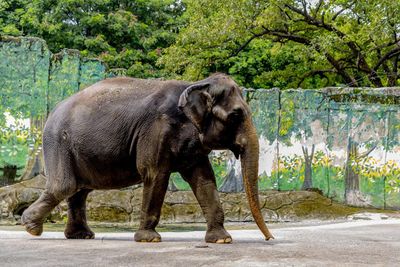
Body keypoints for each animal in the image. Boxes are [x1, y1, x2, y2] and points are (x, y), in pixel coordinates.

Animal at [21, 73, 272, 243]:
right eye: (236, 115)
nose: (269, 238)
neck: (195, 83)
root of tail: (51, 112)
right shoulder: (155, 131)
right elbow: (155, 173)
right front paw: (149, 239)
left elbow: (203, 179)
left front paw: (222, 239)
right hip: (58, 142)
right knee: (65, 186)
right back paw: (31, 227)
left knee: (79, 190)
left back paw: (80, 236)